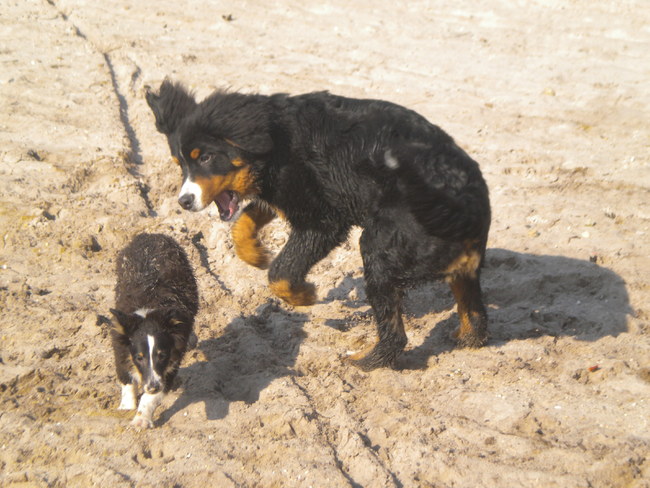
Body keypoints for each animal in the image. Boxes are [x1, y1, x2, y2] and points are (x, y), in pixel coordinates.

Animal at [110, 233, 198, 428]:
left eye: (162, 355)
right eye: (139, 357)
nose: (152, 387)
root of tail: (151, 234)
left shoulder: (172, 362)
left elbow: (151, 398)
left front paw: (141, 420)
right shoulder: (120, 348)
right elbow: (126, 380)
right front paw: (126, 408)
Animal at [146, 80, 490, 371]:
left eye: (205, 158)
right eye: (181, 164)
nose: (184, 201)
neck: (273, 144)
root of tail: (463, 206)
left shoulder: (323, 220)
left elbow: (281, 272)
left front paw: (304, 295)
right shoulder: (282, 195)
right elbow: (243, 225)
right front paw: (254, 254)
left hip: (383, 249)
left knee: (394, 330)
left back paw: (364, 360)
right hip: (457, 265)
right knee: (474, 310)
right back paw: (466, 337)